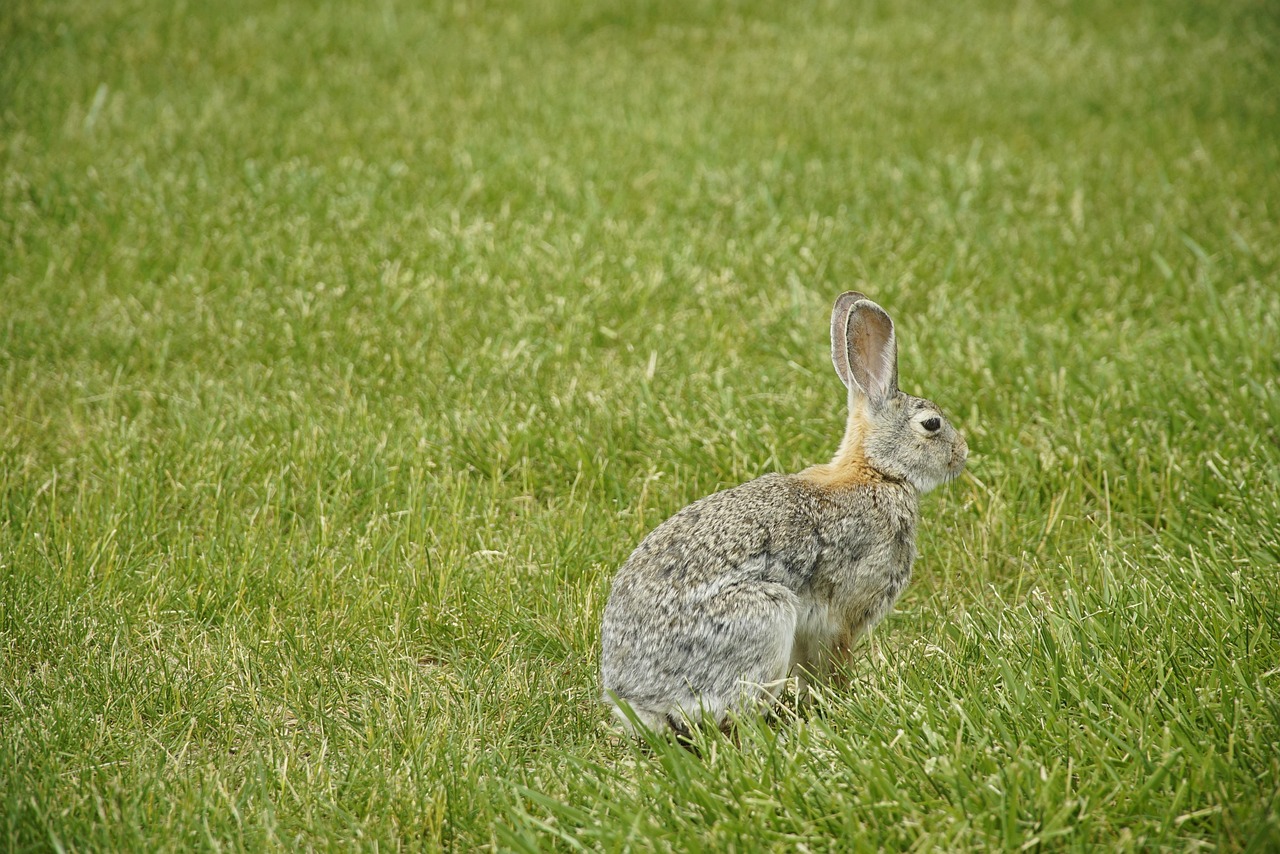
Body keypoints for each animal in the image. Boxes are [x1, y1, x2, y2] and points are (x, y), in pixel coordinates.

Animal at [599, 292, 967, 737]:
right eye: (931, 424)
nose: (963, 454)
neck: (877, 470)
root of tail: (644, 702)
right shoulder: (842, 615)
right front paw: (844, 703)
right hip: (765, 617)